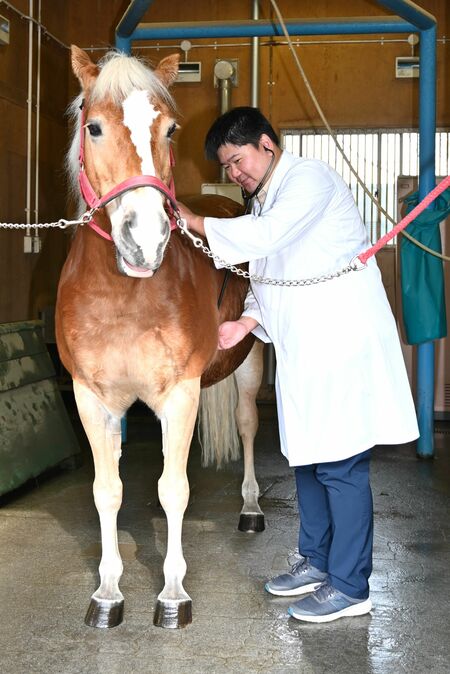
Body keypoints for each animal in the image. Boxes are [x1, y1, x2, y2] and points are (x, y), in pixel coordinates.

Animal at [55, 46, 265, 630]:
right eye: (95, 127)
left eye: (170, 129)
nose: (145, 241)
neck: (126, 296)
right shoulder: (92, 398)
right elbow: (107, 492)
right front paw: (107, 592)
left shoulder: (181, 393)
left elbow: (174, 490)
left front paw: (172, 594)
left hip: (249, 365)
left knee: (246, 425)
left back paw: (251, 508)